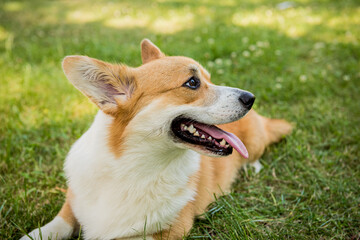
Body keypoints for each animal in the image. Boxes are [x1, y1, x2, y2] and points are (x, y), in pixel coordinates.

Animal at [21, 39, 292, 240]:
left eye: (209, 79)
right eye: (193, 82)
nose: (250, 97)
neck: (134, 168)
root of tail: (261, 116)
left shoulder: (170, 229)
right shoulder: (73, 202)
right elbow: (55, 225)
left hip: (254, 142)